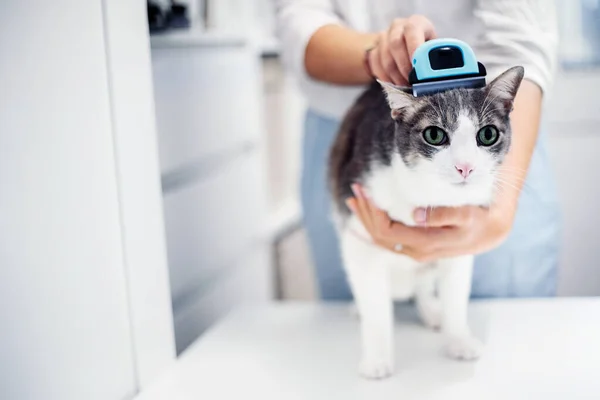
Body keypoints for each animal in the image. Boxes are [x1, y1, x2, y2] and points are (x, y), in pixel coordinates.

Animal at [328, 65, 524, 378]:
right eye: (434, 135)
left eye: (488, 134)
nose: (465, 167)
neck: (428, 193)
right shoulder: (358, 226)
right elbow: (375, 306)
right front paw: (377, 358)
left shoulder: (461, 237)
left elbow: (456, 294)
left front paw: (458, 340)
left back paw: (432, 309)